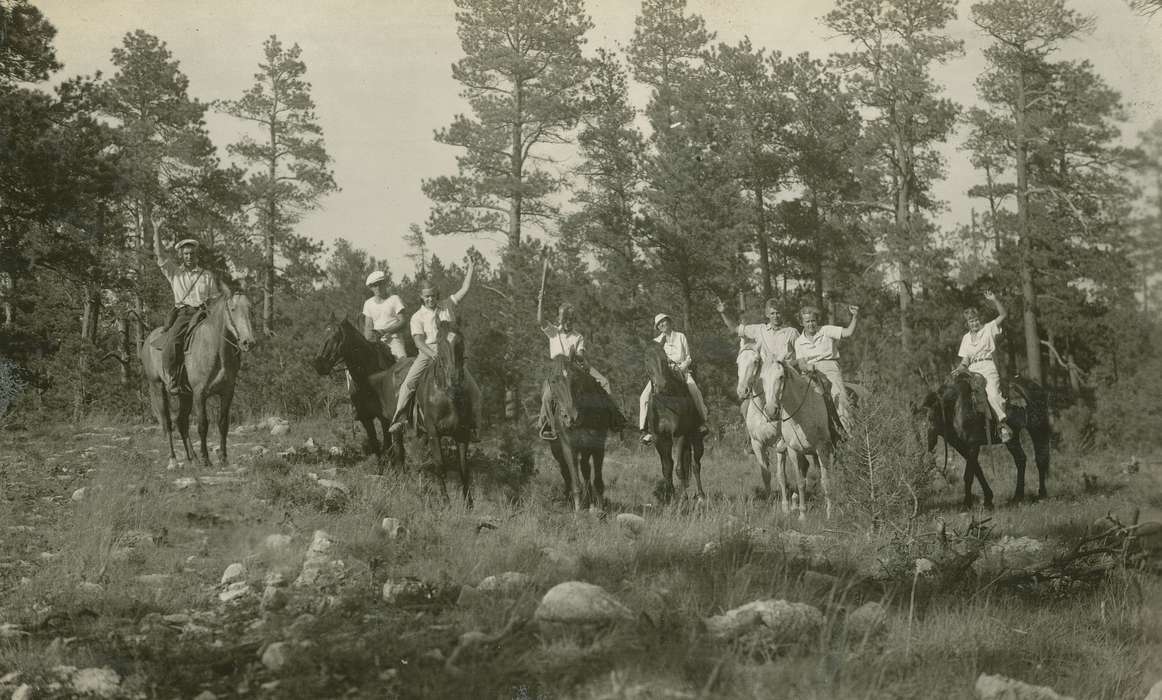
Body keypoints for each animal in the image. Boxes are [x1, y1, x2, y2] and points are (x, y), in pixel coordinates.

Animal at [141, 288, 255, 469]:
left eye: (250, 309)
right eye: (232, 309)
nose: (248, 342)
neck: (215, 349)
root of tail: (149, 340)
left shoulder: (227, 392)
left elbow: (223, 424)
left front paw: (223, 458)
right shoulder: (200, 394)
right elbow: (203, 425)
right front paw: (206, 459)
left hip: (185, 395)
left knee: (181, 422)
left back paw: (192, 458)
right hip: (157, 387)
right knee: (167, 423)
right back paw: (173, 459)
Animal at [311, 316, 411, 469]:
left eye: (336, 336)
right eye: (322, 333)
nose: (319, 364)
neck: (367, 380)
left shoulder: (384, 418)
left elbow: (388, 444)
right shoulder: (365, 418)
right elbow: (375, 444)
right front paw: (381, 469)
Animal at [546, 353, 613, 511]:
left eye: (575, 378)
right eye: (553, 381)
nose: (571, 417)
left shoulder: (598, 445)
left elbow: (597, 479)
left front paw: (599, 508)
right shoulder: (568, 446)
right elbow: (575, 481)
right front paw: (578, 510)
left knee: (585, 468)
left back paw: (589, 501)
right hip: (558, 450)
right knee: (566, 472)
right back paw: (570, 499)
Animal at [641, 339, 701, 497]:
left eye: (664, 359)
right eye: (646, 359)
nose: (661, 385)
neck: (666, 399)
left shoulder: (680, 435)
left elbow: (679, 468)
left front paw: (683, 498)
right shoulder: (660, 438)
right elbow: (667, 468)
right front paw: (671, 496)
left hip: (696, 437)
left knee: (696, 464)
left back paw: (701, 495)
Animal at [924, 369, 1055, 506]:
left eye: (931, 418)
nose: (930, 444)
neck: (956, 407)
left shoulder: (973, 444)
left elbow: (969, 475)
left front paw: (967, 503)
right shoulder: (962, 447)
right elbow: (977, 470)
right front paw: (988, 499)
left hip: (1037, 429)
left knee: (1040, 459)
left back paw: (1041, 495)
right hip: (1012, 438)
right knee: (1021, 460)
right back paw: (1017, 497)